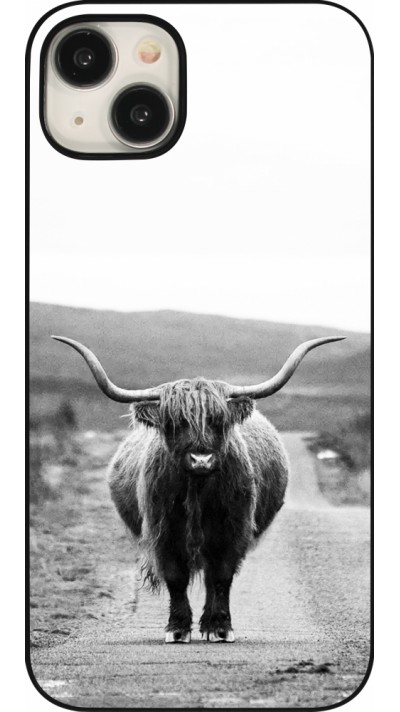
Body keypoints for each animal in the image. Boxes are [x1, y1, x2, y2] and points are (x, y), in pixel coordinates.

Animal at [52, 334, 344, 643]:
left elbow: (221, 577)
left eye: (218, 420)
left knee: (211, 577)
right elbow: (176, 578)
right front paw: (177, 628)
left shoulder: (233, 531)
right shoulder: (163, 532)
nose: (201, 459)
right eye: (174, 422)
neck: (198, 490)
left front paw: (220, 627)